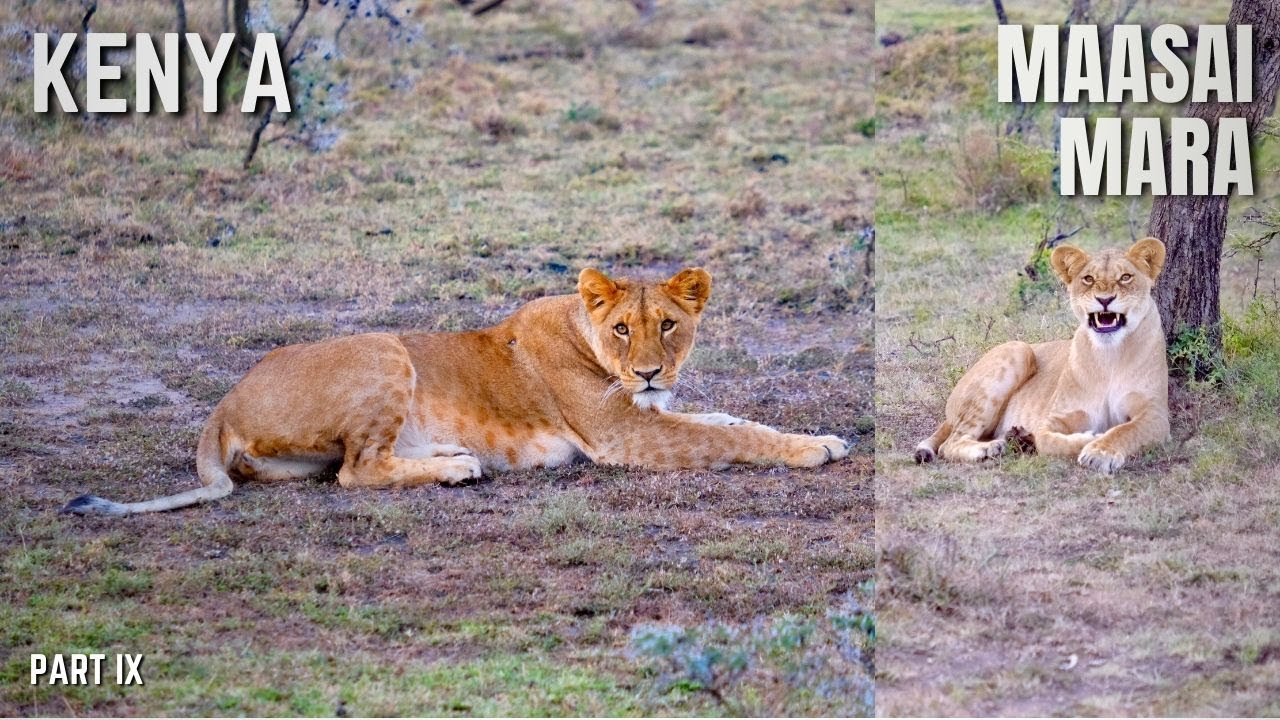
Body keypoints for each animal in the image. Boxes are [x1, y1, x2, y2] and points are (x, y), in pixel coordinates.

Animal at [62, 267, 849, 515]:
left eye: (670, 326)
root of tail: (222, 404)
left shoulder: (653, 414)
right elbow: (727, 434)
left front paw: (823, 436)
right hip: (382, 348)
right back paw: (456, 468)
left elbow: (729, 417)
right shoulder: (627, 436)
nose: (652, 372)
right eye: (624, 328)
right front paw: (812, 450)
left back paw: (447, 458)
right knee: (356, 473)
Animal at [913, 237, 1170, 474]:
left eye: (1125, 277)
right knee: (949, 443)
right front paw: (1089, 440)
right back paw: (991, 448)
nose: (1104, 300)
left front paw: (1100, 452)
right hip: (1018, 350)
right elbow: (1047, 440)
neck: (1109, 355)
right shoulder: (1055, 418)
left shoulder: (1155, 414)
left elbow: (1125, 430)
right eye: (1088, 279)